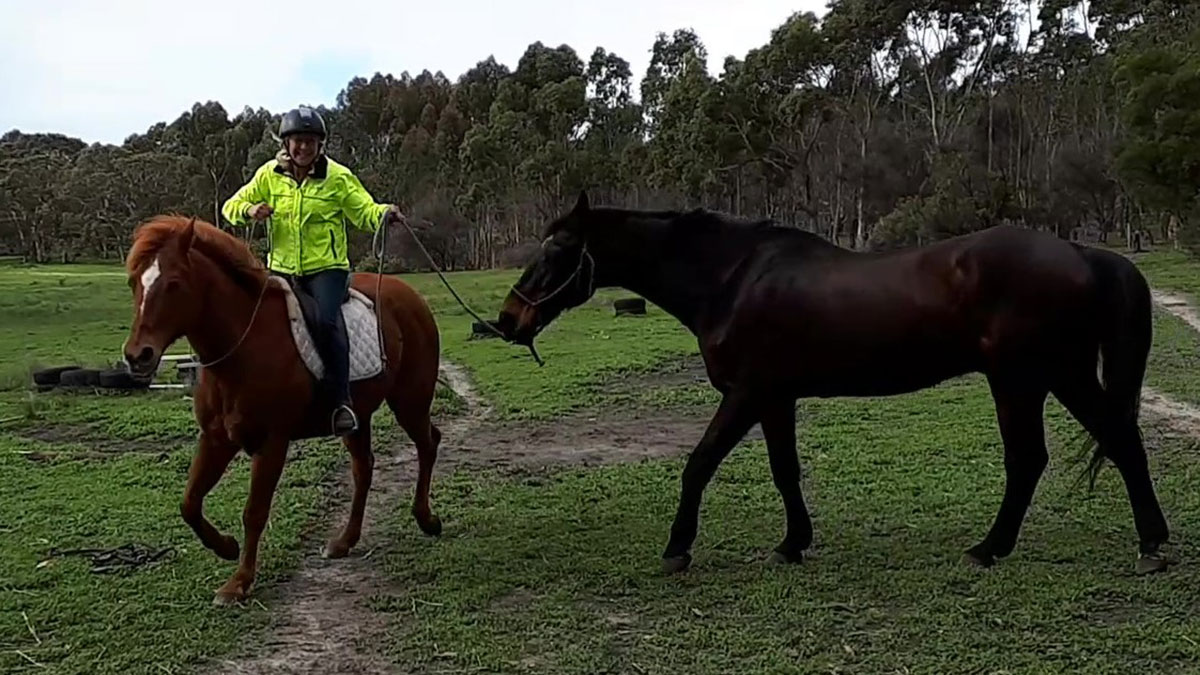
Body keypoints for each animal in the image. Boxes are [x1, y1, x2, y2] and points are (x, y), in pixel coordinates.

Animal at [121, 216, 446, 605]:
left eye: (173, 284)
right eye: (134, 283)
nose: (137, 355)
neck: (243, 346)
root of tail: (409, 295)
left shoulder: (271, 443)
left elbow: (254, 511)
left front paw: (240, 581)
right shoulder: (216, 439)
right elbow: (189, 503)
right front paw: (226, 548)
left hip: (410, 401)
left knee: (428, 444)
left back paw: (426, 519)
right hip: (359, 417)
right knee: (364, 468)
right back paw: (344, 541)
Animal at [494, 192, 1171, 576]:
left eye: (556, 252)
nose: (508, 319)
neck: (731, 278)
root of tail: (1083, 253)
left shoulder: (745, 393)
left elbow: (699, 463)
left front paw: (677, 548)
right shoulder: (774, 398)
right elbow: (785, 471)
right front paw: (793, 543)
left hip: (1027, 379)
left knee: (1040, 457)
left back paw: (996, 548)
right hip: (1056, 376)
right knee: (1116, 441)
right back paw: (1144, 542)